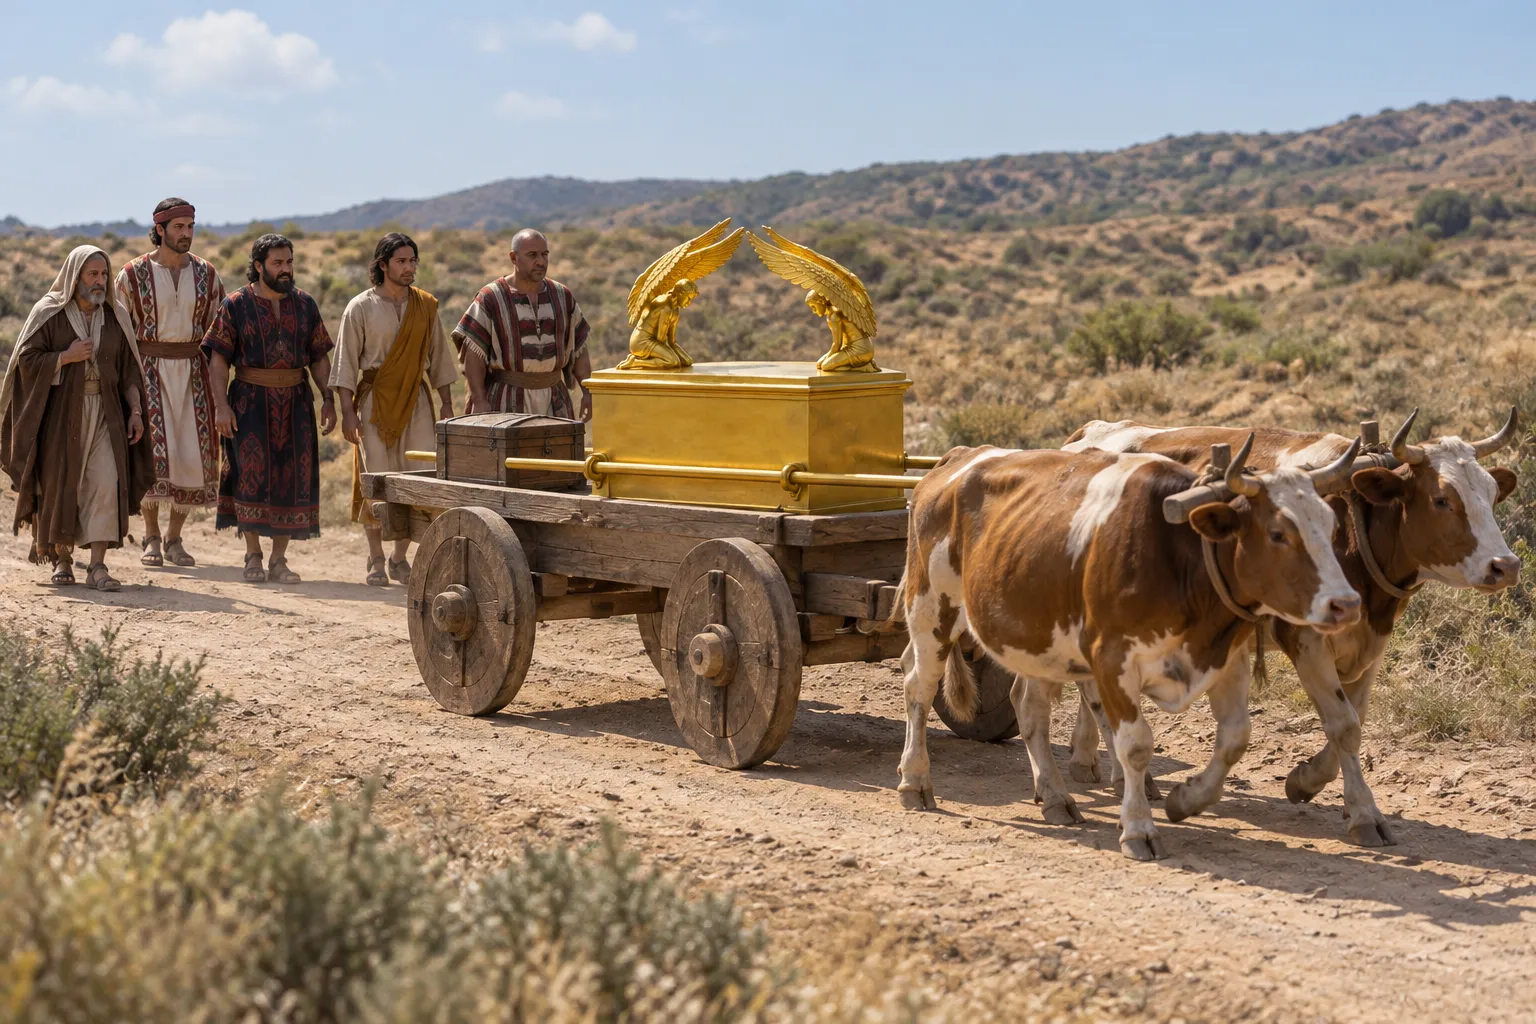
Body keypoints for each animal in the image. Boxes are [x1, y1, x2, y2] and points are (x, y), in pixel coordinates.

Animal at [896, 438, 1364, 860]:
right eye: (1278, 533)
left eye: (1332, 528)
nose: (1346, 603)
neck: (1178, 555)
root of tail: (957, 457)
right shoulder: (1112, 660)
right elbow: (1136, 745)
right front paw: (1140, 829)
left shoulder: (1225, 658)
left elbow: (1235, 738)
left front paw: (1186, 800)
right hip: (931, 611)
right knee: (918, 688)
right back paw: (915, 781)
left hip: (1034, 639)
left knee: (1029, 710)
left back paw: (1054, 796)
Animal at [1059, 408, 1521, 846]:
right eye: (1442, 499)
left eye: (1491, 493)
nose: (1506, 565)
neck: (1351, 523)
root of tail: (1085, 435)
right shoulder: (1305, 638)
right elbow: (1344, 724)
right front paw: (1363, 813)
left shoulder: (1371, 640)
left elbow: (1353, 721)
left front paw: (1308, 781)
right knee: (1094, 693)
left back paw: (1084, 761)